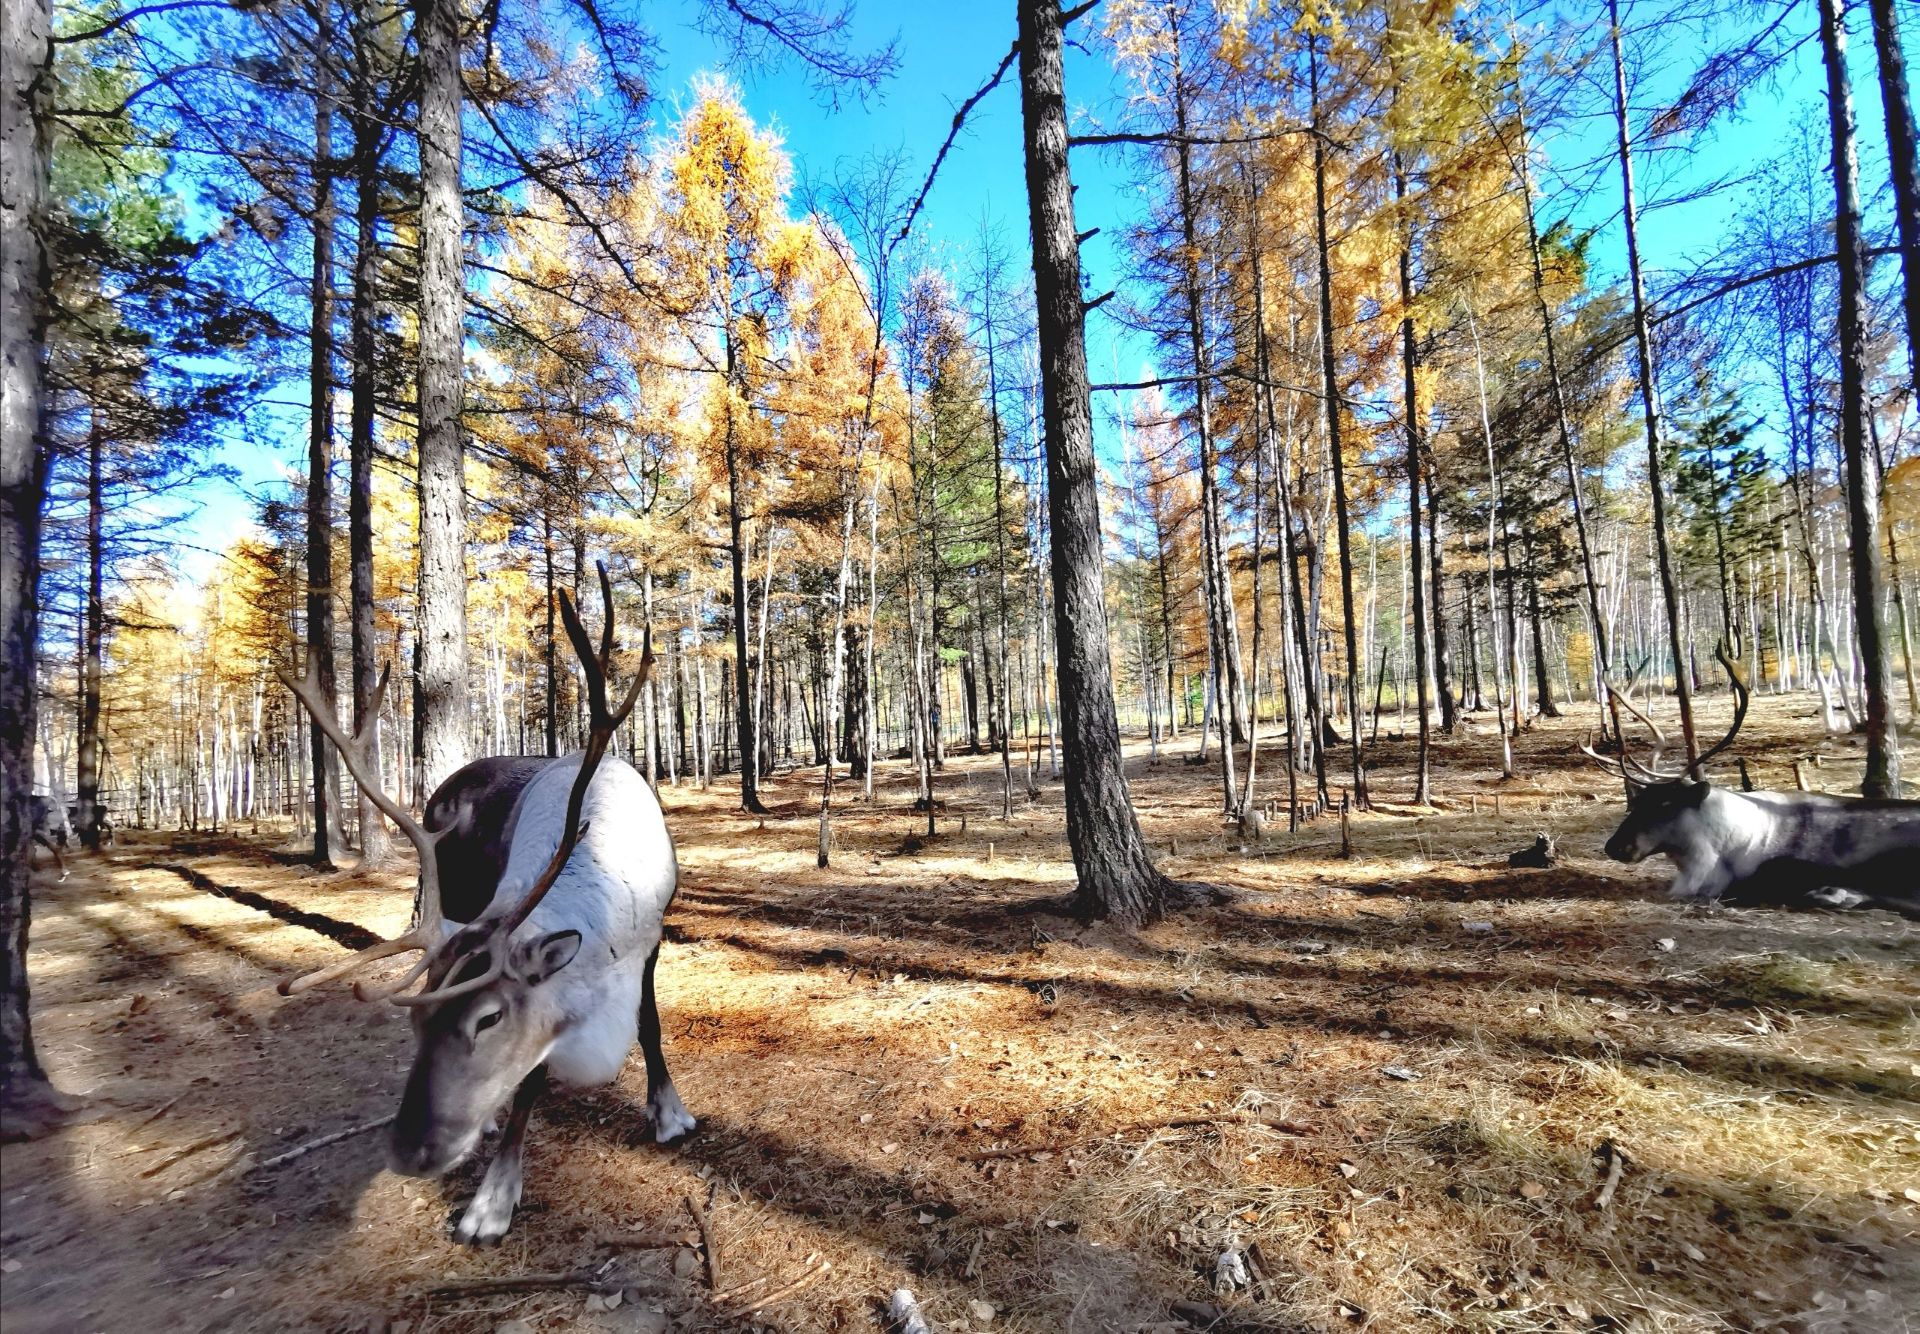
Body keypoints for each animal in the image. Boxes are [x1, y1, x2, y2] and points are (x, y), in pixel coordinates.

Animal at [275, 565, 694, 1244]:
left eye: (488, 1018)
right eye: (417, 1023)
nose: (409, 1151)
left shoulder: (653, 939)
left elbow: (650, 1025)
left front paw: (670, 1115)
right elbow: (530, 1080)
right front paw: (492, 1201)